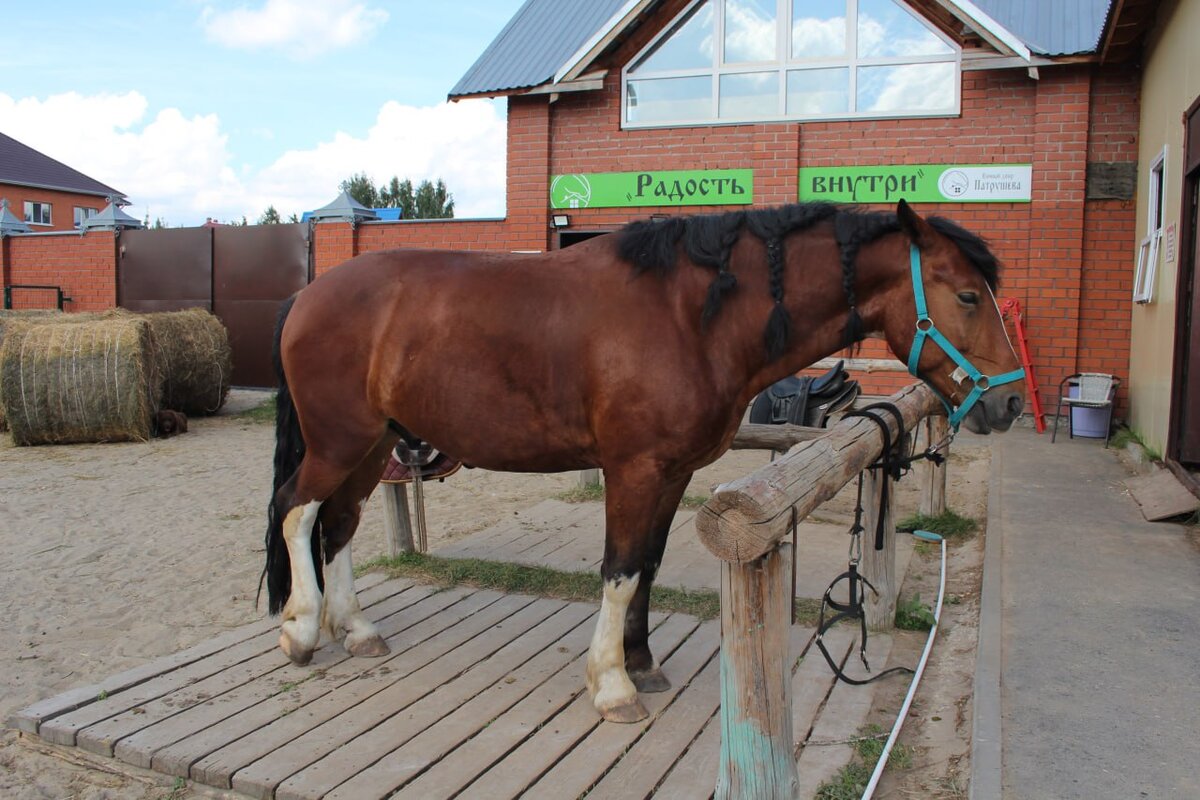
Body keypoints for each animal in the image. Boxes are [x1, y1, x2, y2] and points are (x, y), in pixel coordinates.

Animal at [262, 201, 1022, 724]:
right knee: (297, 511)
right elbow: (621, 570)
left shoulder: (672, 471)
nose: (1009, 403)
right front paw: (613, 684)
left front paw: (643, 663)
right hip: (340, 441)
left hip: (370, 446)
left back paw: (356, 629)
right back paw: (300, 632)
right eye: (965, 295)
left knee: (339, 525)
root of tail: (307, 295)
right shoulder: (634, 469)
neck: (691, 316)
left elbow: (647, 567)